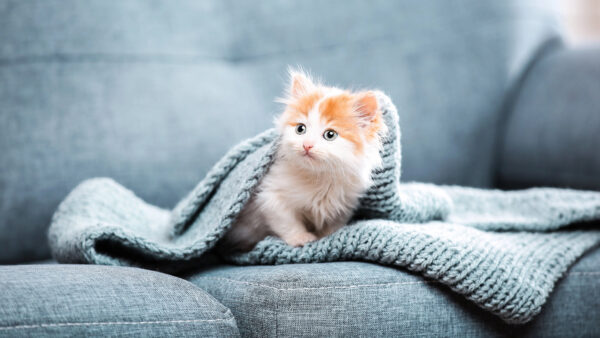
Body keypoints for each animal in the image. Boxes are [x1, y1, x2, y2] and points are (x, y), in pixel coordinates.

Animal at [223, 71, 386, 251]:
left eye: (330, 134)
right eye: (300, 129)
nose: (307, 145)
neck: (320, 177)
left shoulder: (345, 203)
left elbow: (334, 225)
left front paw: (327, 236)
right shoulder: (270, 195)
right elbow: (286, 221)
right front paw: (301, 238)